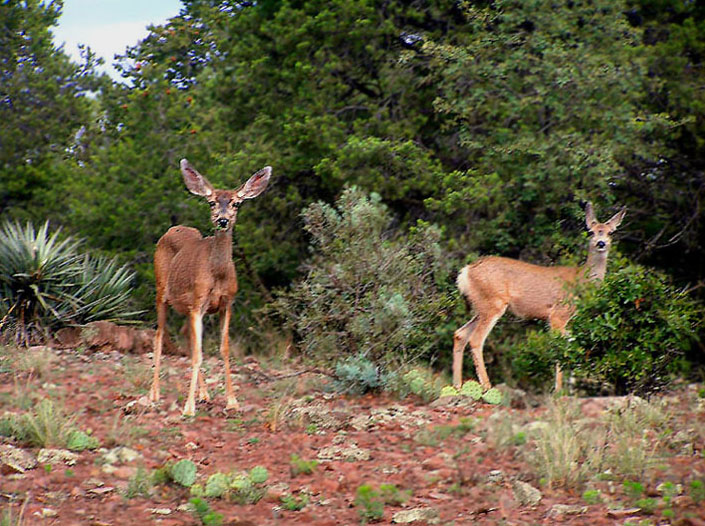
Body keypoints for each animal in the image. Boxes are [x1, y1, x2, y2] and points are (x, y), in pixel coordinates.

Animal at [148, 159, 270, 418]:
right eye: (211, 202)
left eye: (236, 203)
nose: (222, 220)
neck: (218, 275)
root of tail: (171, 229)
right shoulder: (198, 302)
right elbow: (199, 353)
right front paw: (188, 408)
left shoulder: (227, 303)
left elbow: (223, 349)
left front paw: (232, 401)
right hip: (161, 290)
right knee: (159, 335)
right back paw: (153, 394)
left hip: (185, 306)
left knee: (184, 334)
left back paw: (204, 394)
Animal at [448, 204, 624, 394]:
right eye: (591, 231)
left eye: (610, 232)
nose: (601, 243)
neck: (581, 282)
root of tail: (466, 271)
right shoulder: (557, 314)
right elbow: (559, 348)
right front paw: (558, 390)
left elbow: (571, 344)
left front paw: (572, 390)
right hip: (493, 303)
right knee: (476, 339)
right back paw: (486, 386)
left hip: (480, 306)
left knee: (460, 334)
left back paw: (457, 386)